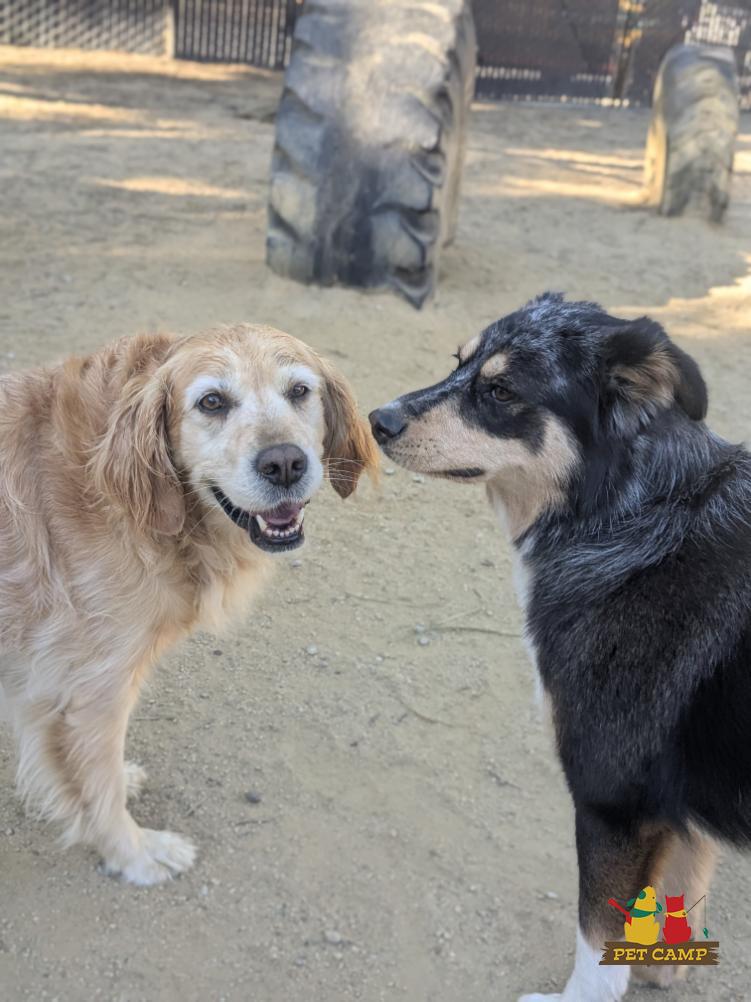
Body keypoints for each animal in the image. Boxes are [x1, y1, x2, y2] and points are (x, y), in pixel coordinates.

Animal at [0, 324, 377, 885]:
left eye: (299, 391)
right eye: (212, 401)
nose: (285, 463)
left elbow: (99, 769)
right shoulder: (89, 688)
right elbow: (98, 782)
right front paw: (134, 853)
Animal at [370, 292, 751, 1000]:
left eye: (499, 390)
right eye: (457, 361)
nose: (377, 419)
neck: (634, 515)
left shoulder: (613, 802)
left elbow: (599, 939)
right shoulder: (675, 808)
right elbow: (680, 887)